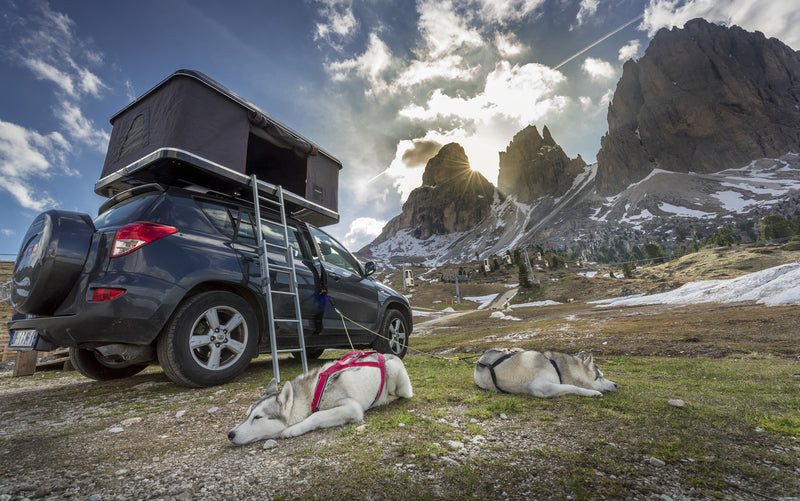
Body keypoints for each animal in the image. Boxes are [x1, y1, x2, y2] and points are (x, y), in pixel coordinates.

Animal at [227, 350, 410, 444]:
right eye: (247, 415)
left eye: (257, 417)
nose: (230, 434)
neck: (312, 394)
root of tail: (385, 354)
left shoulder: (351, 408)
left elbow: (317, 415)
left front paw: (294, 429)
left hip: (395, 375)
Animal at [476, 348, 620, 398]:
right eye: (600, 377)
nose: (616, 385)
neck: (558, 368)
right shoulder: (542, 387)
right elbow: (573, 387)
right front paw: (592, 393)